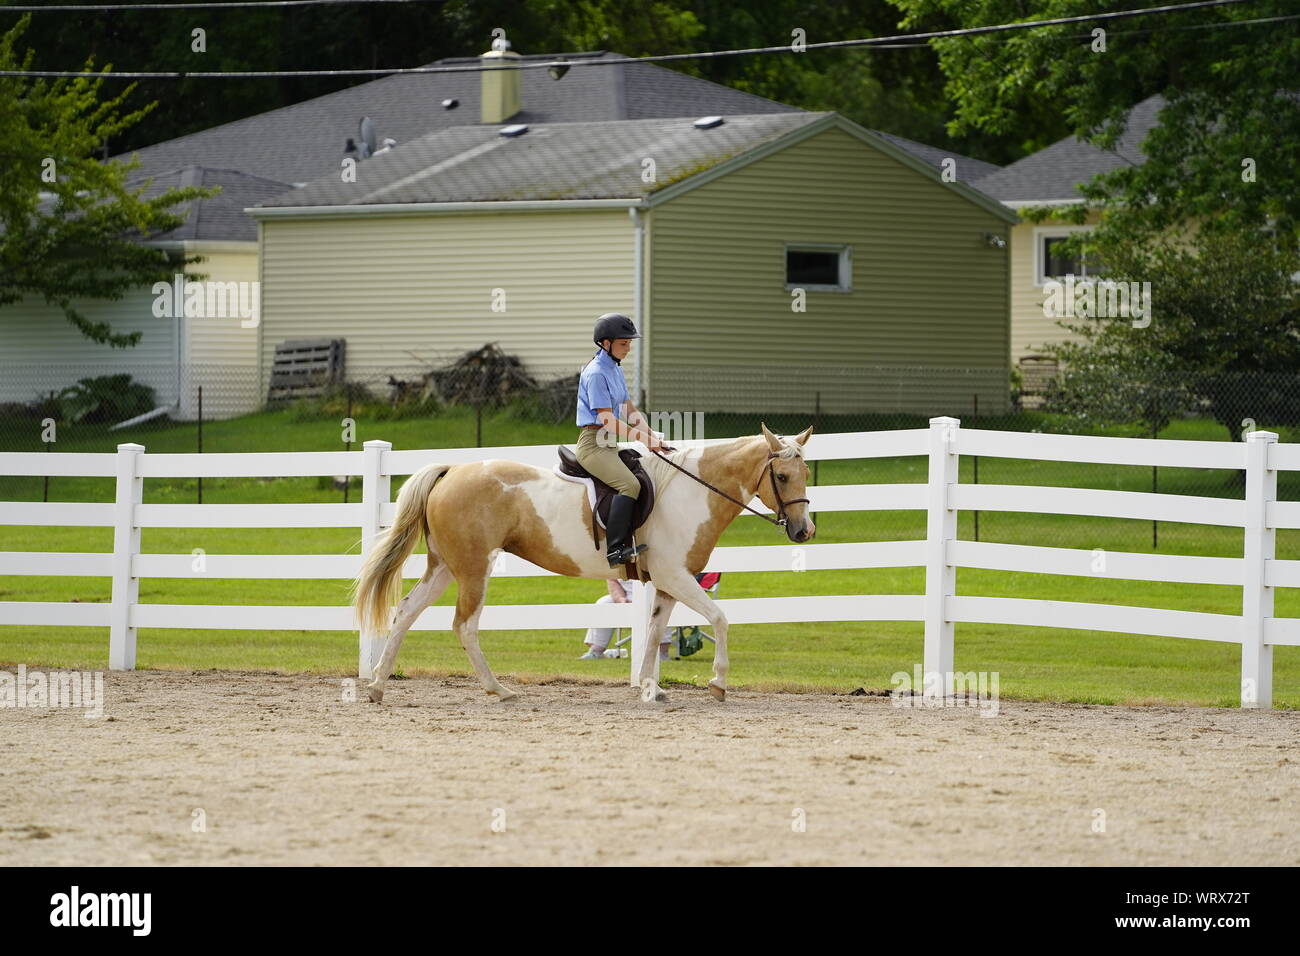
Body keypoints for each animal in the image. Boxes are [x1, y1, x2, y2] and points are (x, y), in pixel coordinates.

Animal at [352, 422, 815, 704]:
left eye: (807, 473)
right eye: (782, 477)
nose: (804, 532)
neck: (691, 491)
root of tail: (451, 471)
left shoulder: (666, 583)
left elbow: (654, 632)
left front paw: (650, 688)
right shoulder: (676, 576)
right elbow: (719, 619)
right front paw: (718, 684)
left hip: (445, 566)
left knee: (406, 611)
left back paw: (377, 685)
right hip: (473, 569)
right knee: (464, 625)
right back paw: (497, 689)